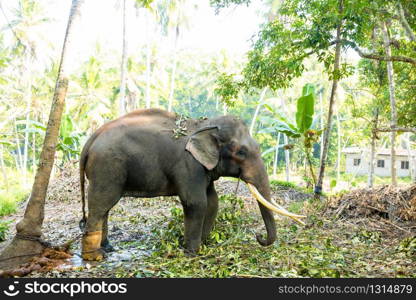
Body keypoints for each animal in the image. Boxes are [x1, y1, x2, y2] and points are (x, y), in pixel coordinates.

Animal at [79, 108, 306, 260]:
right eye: (241, 152)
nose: (258, 237)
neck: (203, 125)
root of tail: (90, 140)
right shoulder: (189, 165)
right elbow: (196, 202)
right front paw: (191, 253)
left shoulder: (203, 169)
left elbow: (212, 201)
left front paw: (202, 245)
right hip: (107, 167)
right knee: (101, 205)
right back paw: (95, 257)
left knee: (105, 208)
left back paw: (107, 249)